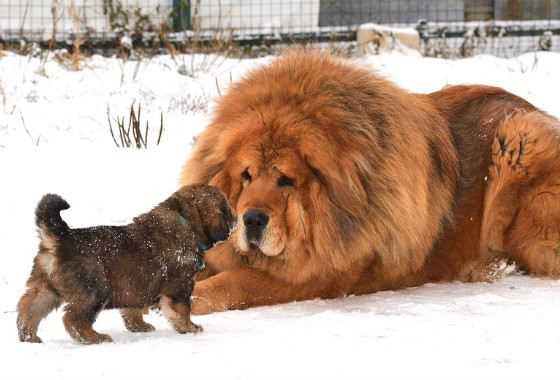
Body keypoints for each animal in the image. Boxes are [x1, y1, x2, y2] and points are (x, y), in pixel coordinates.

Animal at [16, 184, 233, 344]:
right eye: (226, 210)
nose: (236, 220)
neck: (186, 219)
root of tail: (60, 238)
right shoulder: (180, 286)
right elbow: (183, 310)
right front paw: (190, 328)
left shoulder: (137, 286)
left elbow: (132, 310)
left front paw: (139, 326)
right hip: (95, 291)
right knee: (73, 319)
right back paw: (94, 337)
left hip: (46, 288)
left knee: (29, 308)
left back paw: (28, 336)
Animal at [176, 53, 560, 314]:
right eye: (246, 175)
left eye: (286, 180)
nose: (252, 219)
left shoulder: (318, 274)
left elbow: (237, 280)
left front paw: (194, 296)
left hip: (520, 138)